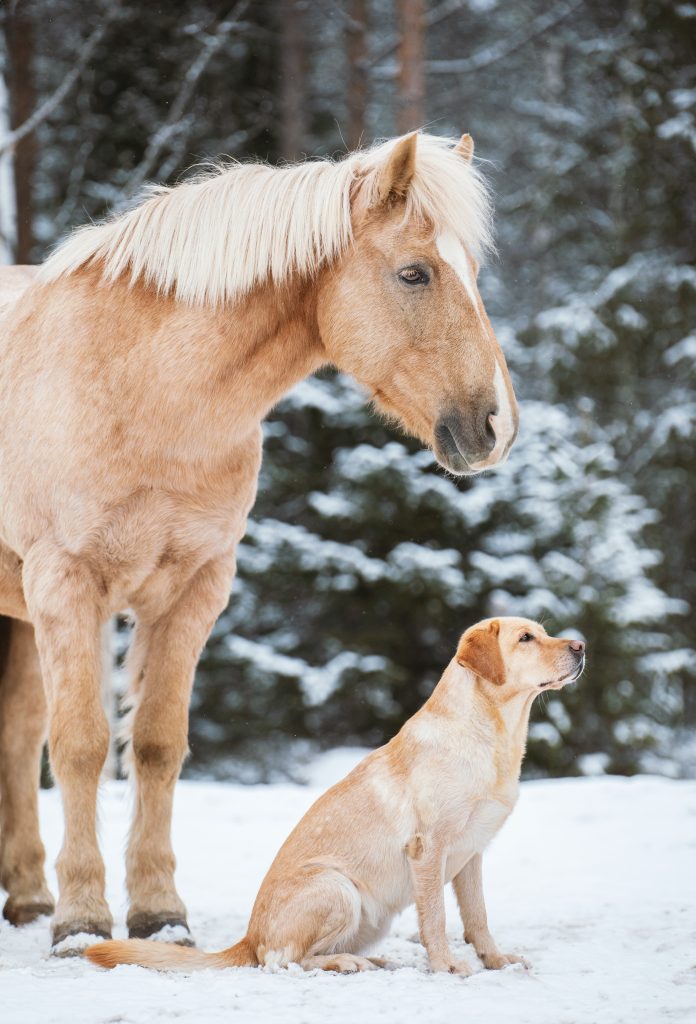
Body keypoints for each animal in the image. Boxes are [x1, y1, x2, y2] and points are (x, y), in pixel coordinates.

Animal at [0, 132, 515, 954]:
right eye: (415, 272)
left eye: (472, 269)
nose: (494, 426)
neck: (141, 389)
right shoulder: (64, 585)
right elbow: (80, 745)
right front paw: (82, 922)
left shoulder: (195, 589)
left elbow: (156, 744)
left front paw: (159, 914)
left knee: (15, 742)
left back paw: (25, 897)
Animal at [88, 614, 585, 974]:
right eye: (526, 638)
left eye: (544, 632)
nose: (580, 646)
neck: (493, 736)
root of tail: (247, 938)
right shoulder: (428, 849)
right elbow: (437, 919)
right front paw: (446, 966)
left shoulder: (472, 855)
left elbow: (478, 918)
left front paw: (496, 961)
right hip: (337, 887)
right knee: (283, 961)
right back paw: (348, 962)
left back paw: (371, 958)